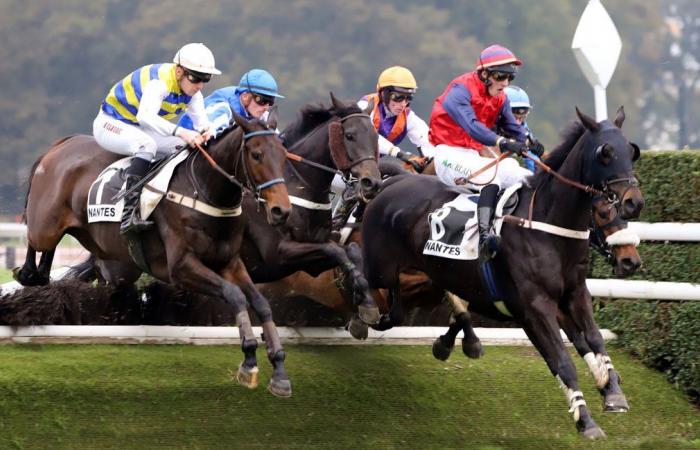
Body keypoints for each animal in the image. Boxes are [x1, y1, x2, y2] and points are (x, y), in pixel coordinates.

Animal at [15, 112, 296, 398]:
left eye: (284, 156)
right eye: (256, 155)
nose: (281, 211)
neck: (204, 192)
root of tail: (60, 145)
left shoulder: (229, 262)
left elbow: (261, 302)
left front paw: (279, 370)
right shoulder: (182, 267)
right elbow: (235, 295)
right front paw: (249, 360)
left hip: (108, 256)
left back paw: (43, 275)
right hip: (46, 226)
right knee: (36, 241)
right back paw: (30, 274)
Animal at [241, 93, 382, 336]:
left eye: (375, 137)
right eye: (349, 135)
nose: (371, 183)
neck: (298, 186)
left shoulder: (312, 260)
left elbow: (351, 251)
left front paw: (364, 303)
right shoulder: (279, 254)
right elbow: (336, 251)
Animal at [360, 107, 644, 438]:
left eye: (631, 151)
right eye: (605, 153)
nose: (634, 202)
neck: (547, 227)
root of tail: (392, 184)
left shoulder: (574, 294)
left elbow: (594, 340)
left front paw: (612, 390)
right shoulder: (534, 309)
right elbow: (562, 361)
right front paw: (586, 421)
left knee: (401, 306)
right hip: (380, 266)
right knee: (353, 264)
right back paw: (363, 309)